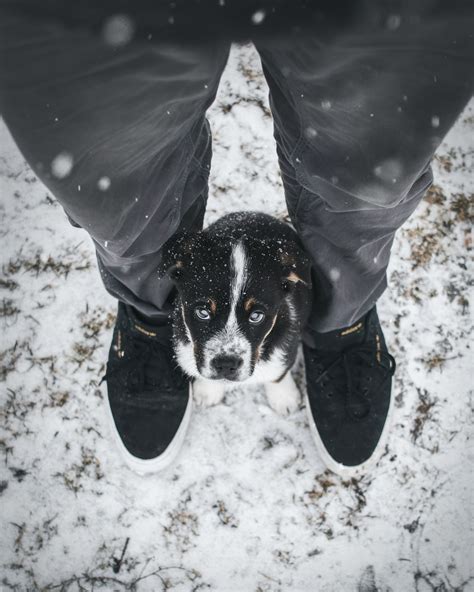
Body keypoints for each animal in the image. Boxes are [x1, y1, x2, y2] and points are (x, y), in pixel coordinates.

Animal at [160, 212, 312, 412]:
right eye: (203, 312)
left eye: (256, 316)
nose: (226, 365)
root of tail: (254, 212)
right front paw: (208, 391)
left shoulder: (289, 336)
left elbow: (279, 371)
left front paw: (284, 397)